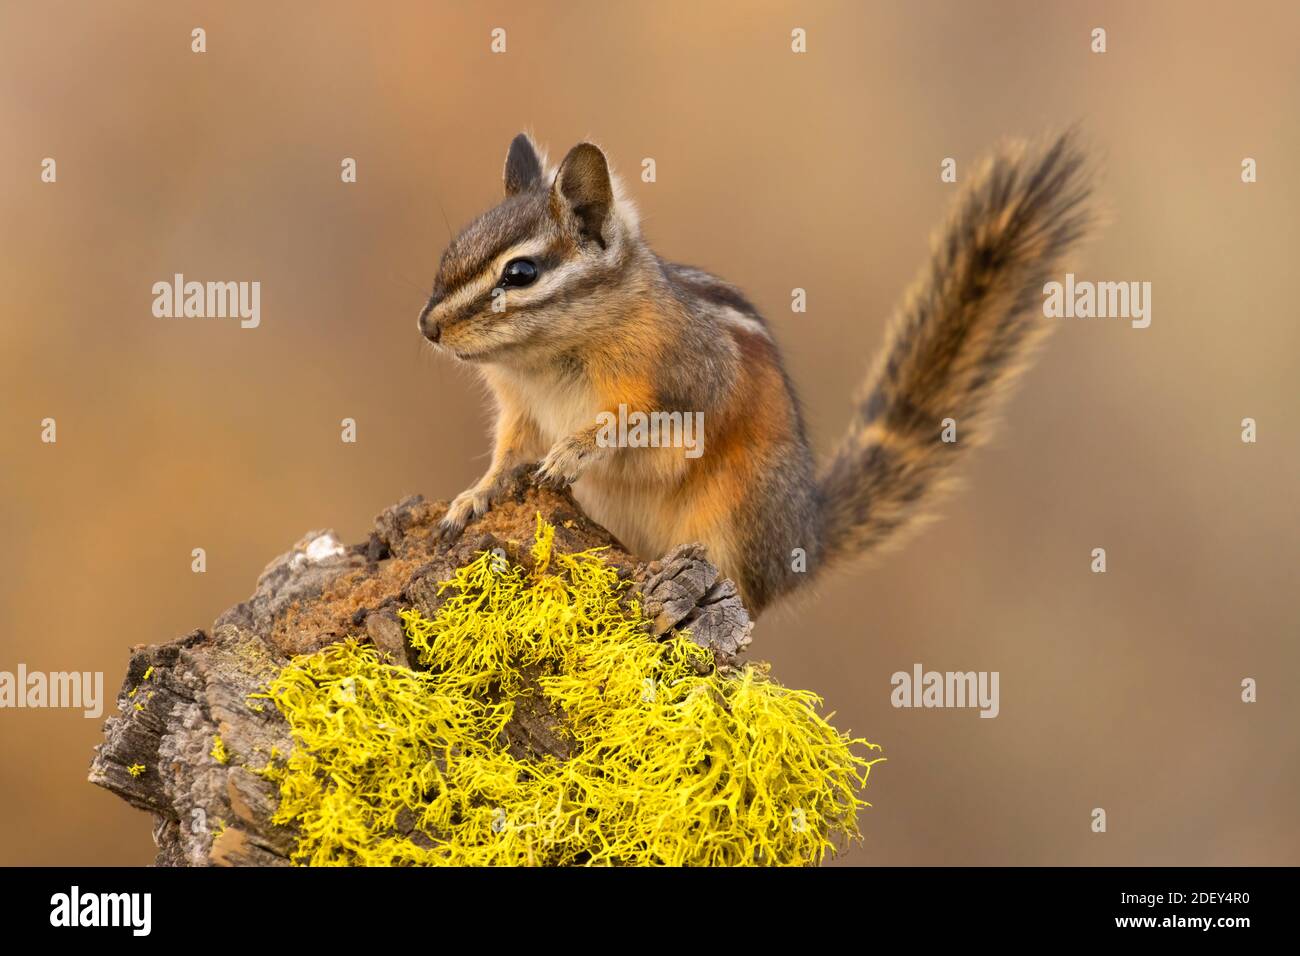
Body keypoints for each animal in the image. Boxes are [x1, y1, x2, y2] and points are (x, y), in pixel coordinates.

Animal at [419, 131, 1092, 614]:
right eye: (451, 253)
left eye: (521, 273)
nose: (427, 326)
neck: (544, 362)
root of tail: (808, 535)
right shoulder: (520, 409)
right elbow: (508, 455)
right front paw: (474, 497)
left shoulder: (692, 383)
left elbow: (628, 424)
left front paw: (573, 450)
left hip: (739, 514)